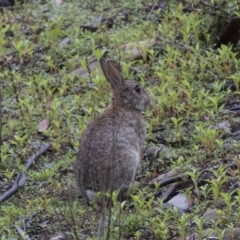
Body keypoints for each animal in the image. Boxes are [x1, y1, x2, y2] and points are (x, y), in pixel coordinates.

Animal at [74, 57, 151, 202]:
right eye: (138, 89)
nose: (149, 100)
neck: (124, 106)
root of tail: (93, 192)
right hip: (128, 160)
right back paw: (135, 185)